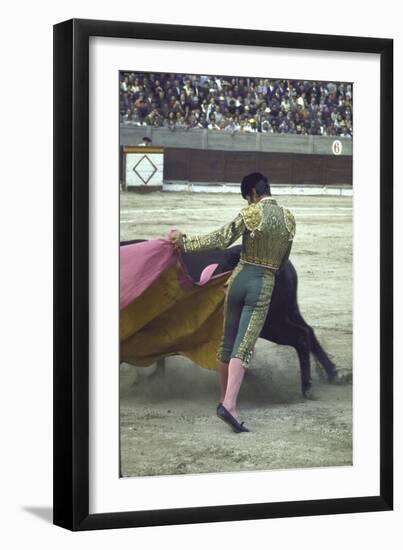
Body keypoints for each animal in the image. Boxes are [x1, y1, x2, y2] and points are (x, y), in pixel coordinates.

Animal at [121, 240, 348, 396]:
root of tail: (280, 265)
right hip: (288, 311)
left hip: (271, 323)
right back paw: (334, 375)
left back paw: (306, 387)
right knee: (308, 331)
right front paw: (152, 378)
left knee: (300, 336)